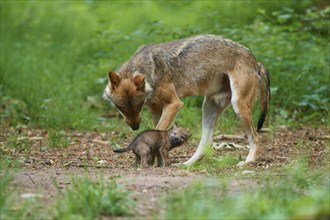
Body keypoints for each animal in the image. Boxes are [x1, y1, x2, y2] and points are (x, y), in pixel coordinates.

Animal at [104, 34, 270, 165]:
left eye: (138, 107)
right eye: (121, 109)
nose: (135, 127)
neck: (149, 69)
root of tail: (256, 62)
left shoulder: (173, 104)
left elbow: (159, 129)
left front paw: (151, 160)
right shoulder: (156, 109)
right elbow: (157, 130)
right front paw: (155, 161)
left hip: (238, 107)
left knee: (255, 138)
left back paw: (248, 161)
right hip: (208, 107)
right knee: (206, 144)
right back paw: (186, 165)